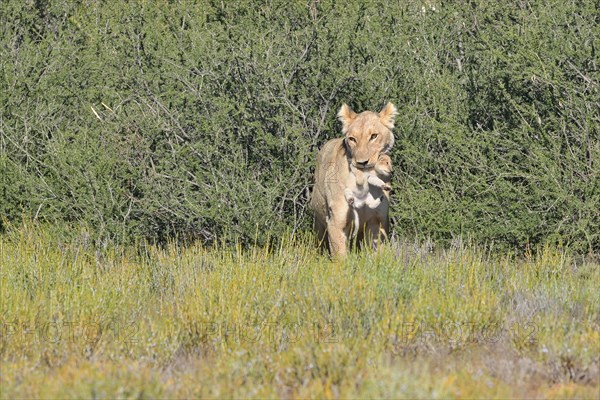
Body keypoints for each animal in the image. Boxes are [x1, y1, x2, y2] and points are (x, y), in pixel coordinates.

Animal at [310, 102, 398, 260]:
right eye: (352, 139)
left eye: (373, 136)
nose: (362, 163)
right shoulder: (336, 223)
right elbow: (340, 258)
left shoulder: (377, 223)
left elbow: (376, 256)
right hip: (319, 226)